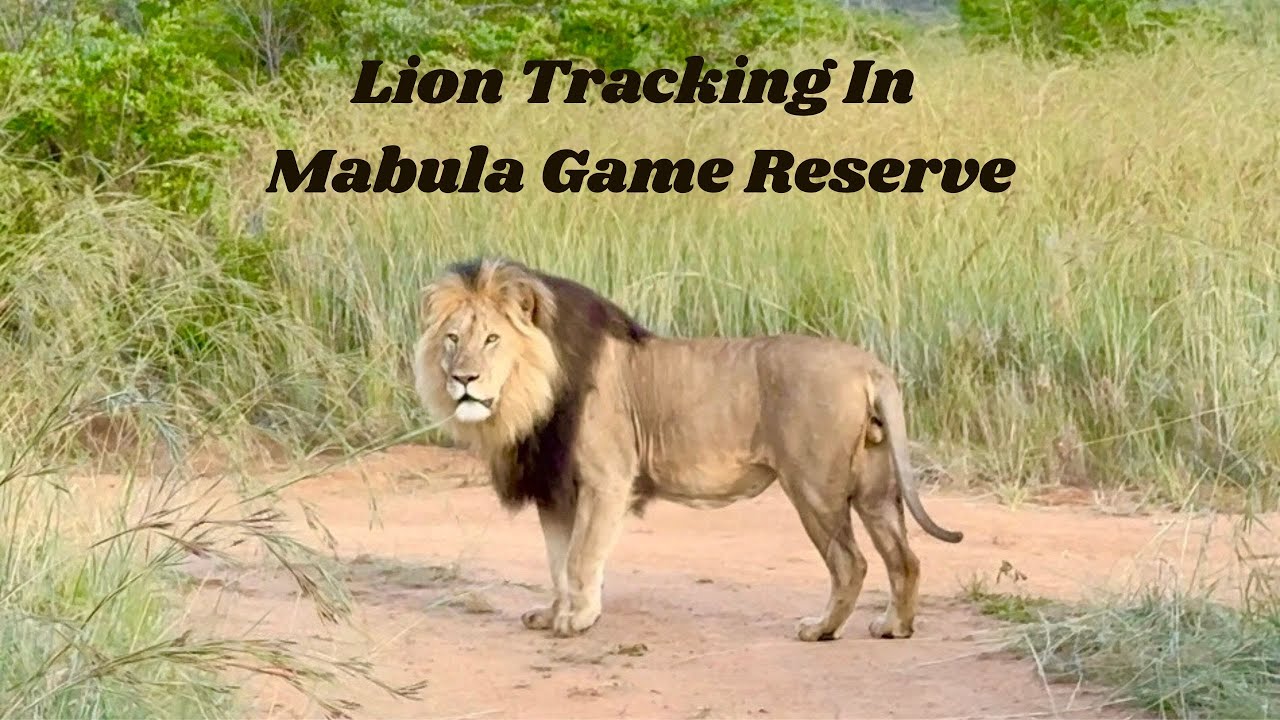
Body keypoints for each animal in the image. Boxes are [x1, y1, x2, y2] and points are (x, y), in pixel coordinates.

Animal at [412, 257, 963, 641]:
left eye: (492, 339)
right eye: (452, 339)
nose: (463, 380)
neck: (531, 393)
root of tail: (869, 365)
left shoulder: (606, 480)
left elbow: (580, 558)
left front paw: (579, 620)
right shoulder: (557, 491)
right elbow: (556, 561)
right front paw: (554, 614)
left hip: (814, 487)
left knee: (852, 564)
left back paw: (821, 629)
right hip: (874, 488)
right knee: (905, 559)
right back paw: (894, 627)